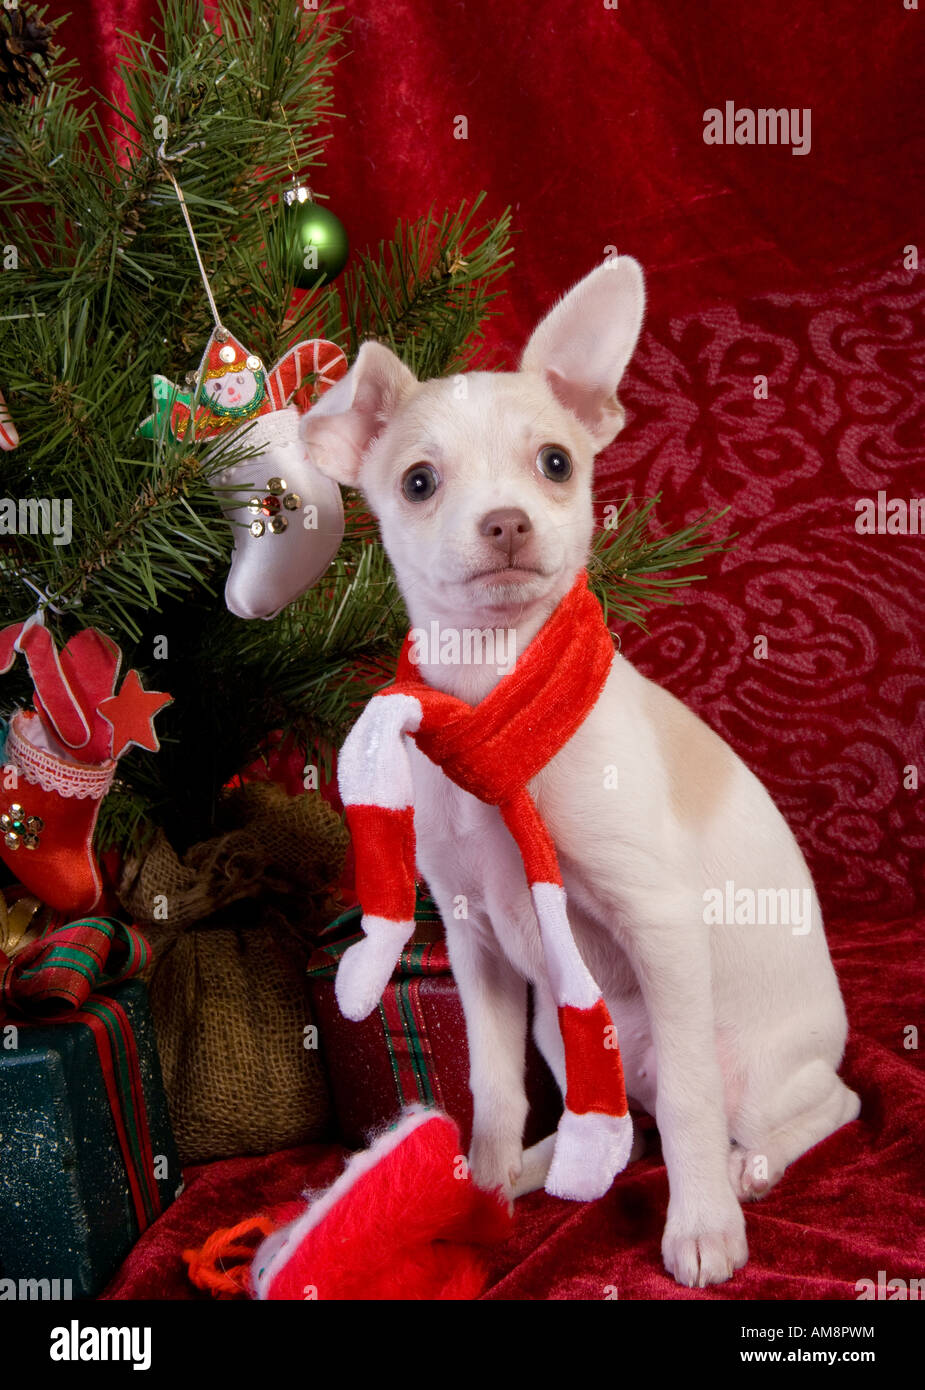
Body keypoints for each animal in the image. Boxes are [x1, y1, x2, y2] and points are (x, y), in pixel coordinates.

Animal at [301, 262, 856, 1289]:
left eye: (555, 464)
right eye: (419, 482)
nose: (506, 521)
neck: (497, 704)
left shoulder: (659, 924)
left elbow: (688, 1107)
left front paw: (701, 1226)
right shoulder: (478, 944)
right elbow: (491, 1088)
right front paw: (482, 1190)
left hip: (755, 1073)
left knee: (800, 1106)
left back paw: (747, 1169)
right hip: (568, 1033)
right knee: (610, 1115)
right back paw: (546, 1161)